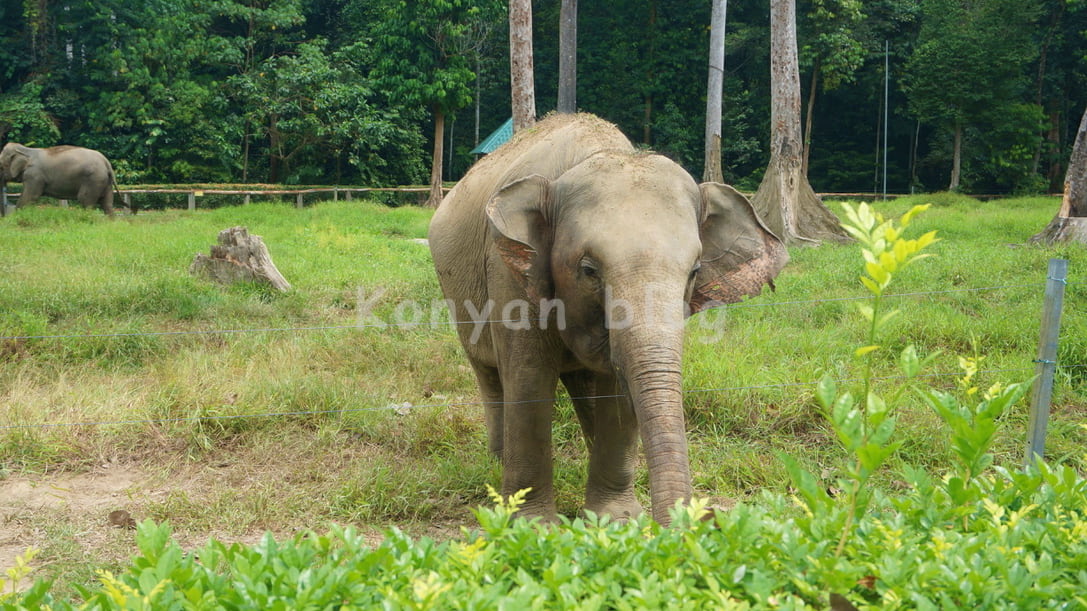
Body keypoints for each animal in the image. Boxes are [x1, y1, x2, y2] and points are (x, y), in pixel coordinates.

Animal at [426, 114, 791, 524]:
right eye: (589, 270)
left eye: (695, 270)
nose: (704, 517)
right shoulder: (509, 271)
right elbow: (529, 377)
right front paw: (533, 523)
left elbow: (618, 385)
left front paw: (616, 519)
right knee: (490, 375)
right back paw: (496, 462)